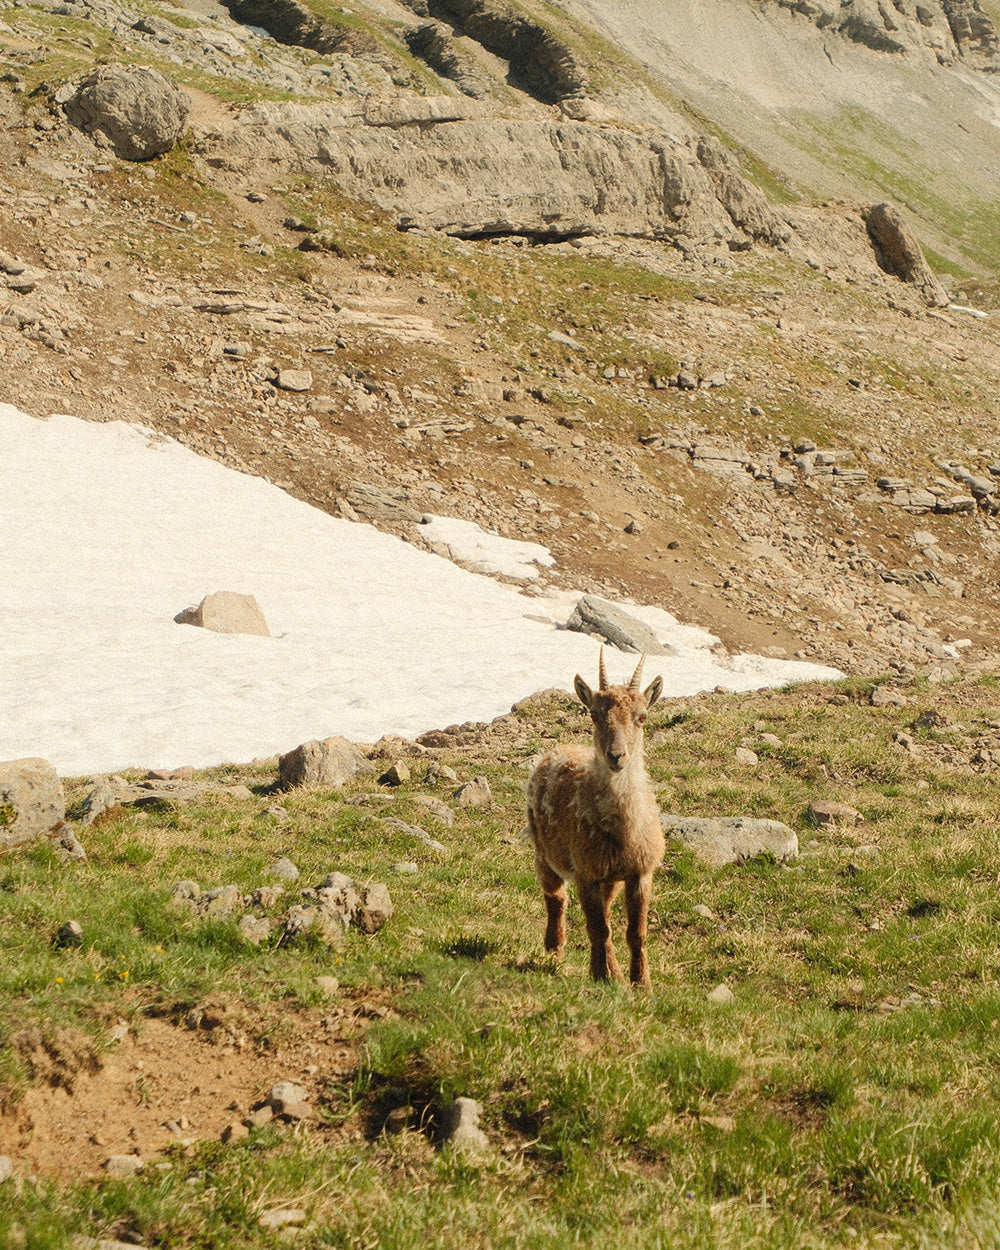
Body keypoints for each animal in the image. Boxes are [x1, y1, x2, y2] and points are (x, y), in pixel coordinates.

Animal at [526, 649, 664, 988]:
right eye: (594, 714)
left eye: (642, 716)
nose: (616, 756)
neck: (623, 831)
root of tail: (557, 749)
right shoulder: (585, 873)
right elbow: (597, 929)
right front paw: (599, 977)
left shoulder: (640, 872)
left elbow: (635, 933)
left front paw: (641, 984)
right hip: (544, 854)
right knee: (556, 897)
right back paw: (554, 951)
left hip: (610, 879)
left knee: (607, 915)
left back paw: (616, 973)